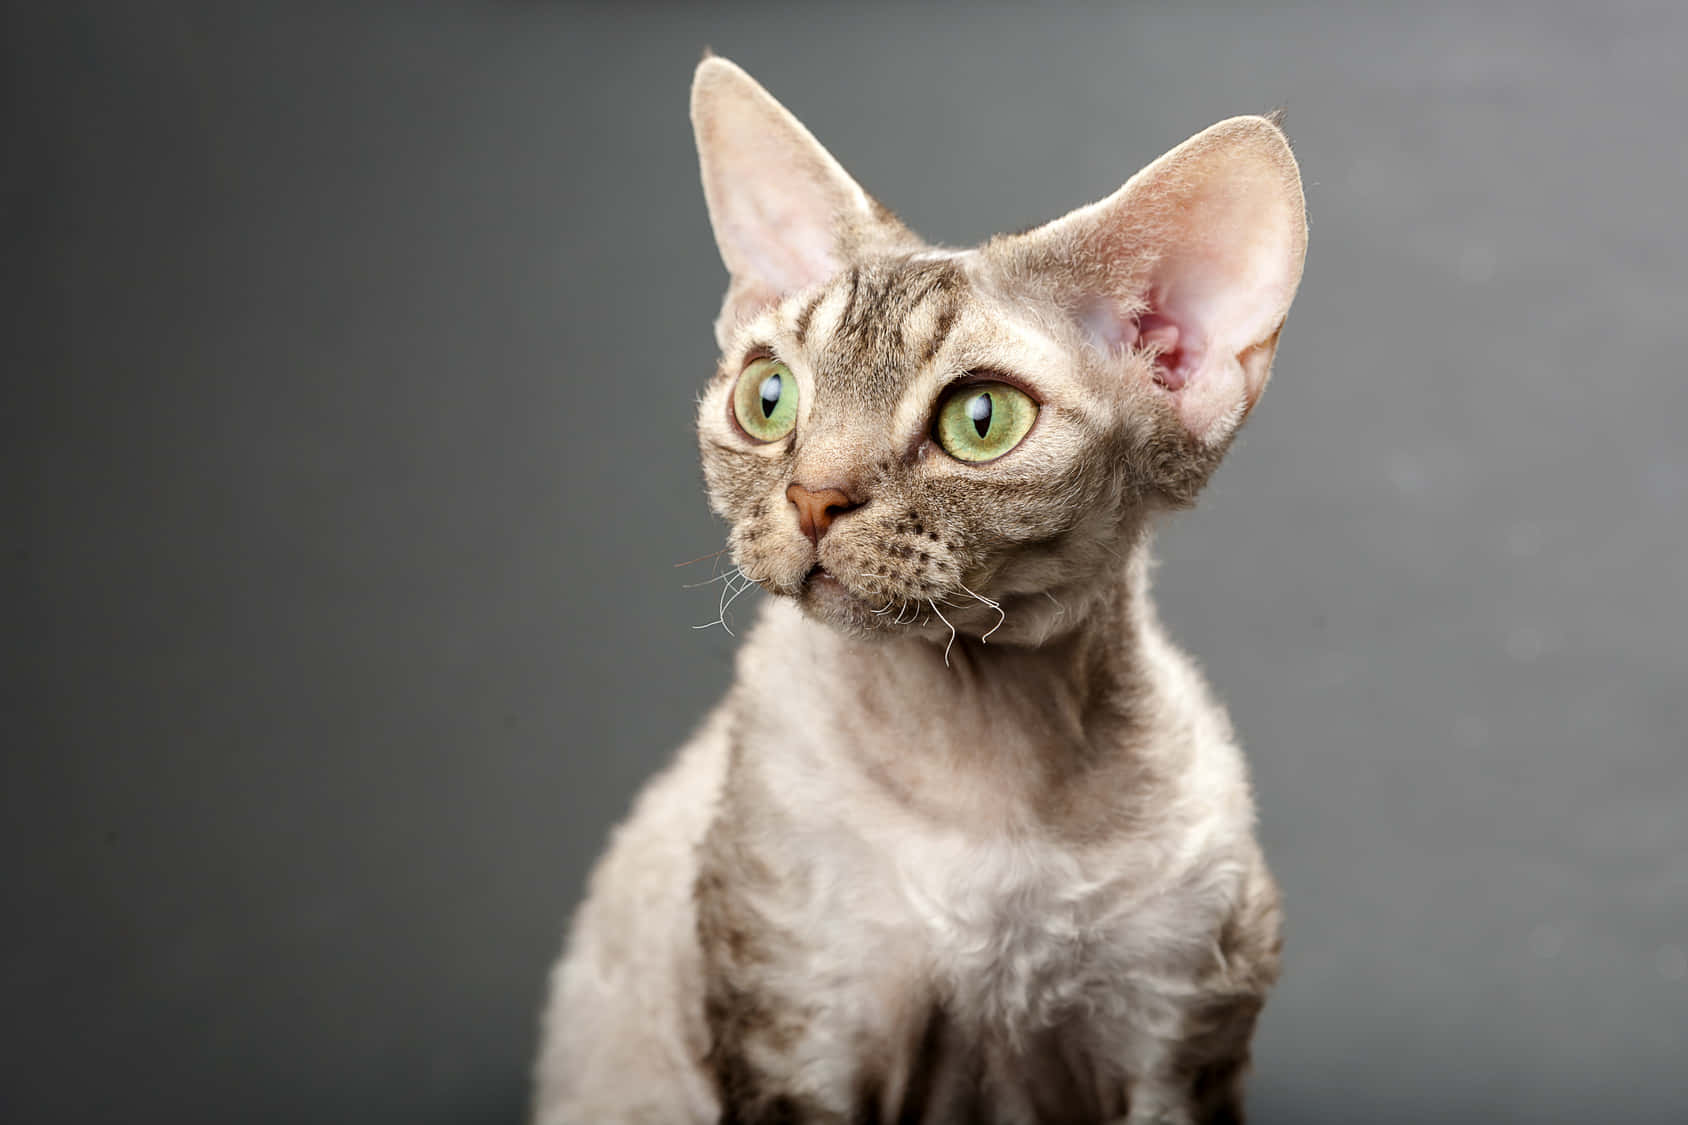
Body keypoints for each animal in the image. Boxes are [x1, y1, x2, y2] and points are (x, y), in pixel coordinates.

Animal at [526, 54, 1303, 1121]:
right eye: (768, 398)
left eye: (982, 419)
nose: (813, 497)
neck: (984, 776)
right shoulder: (793, 1037)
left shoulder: (1179, 1050)